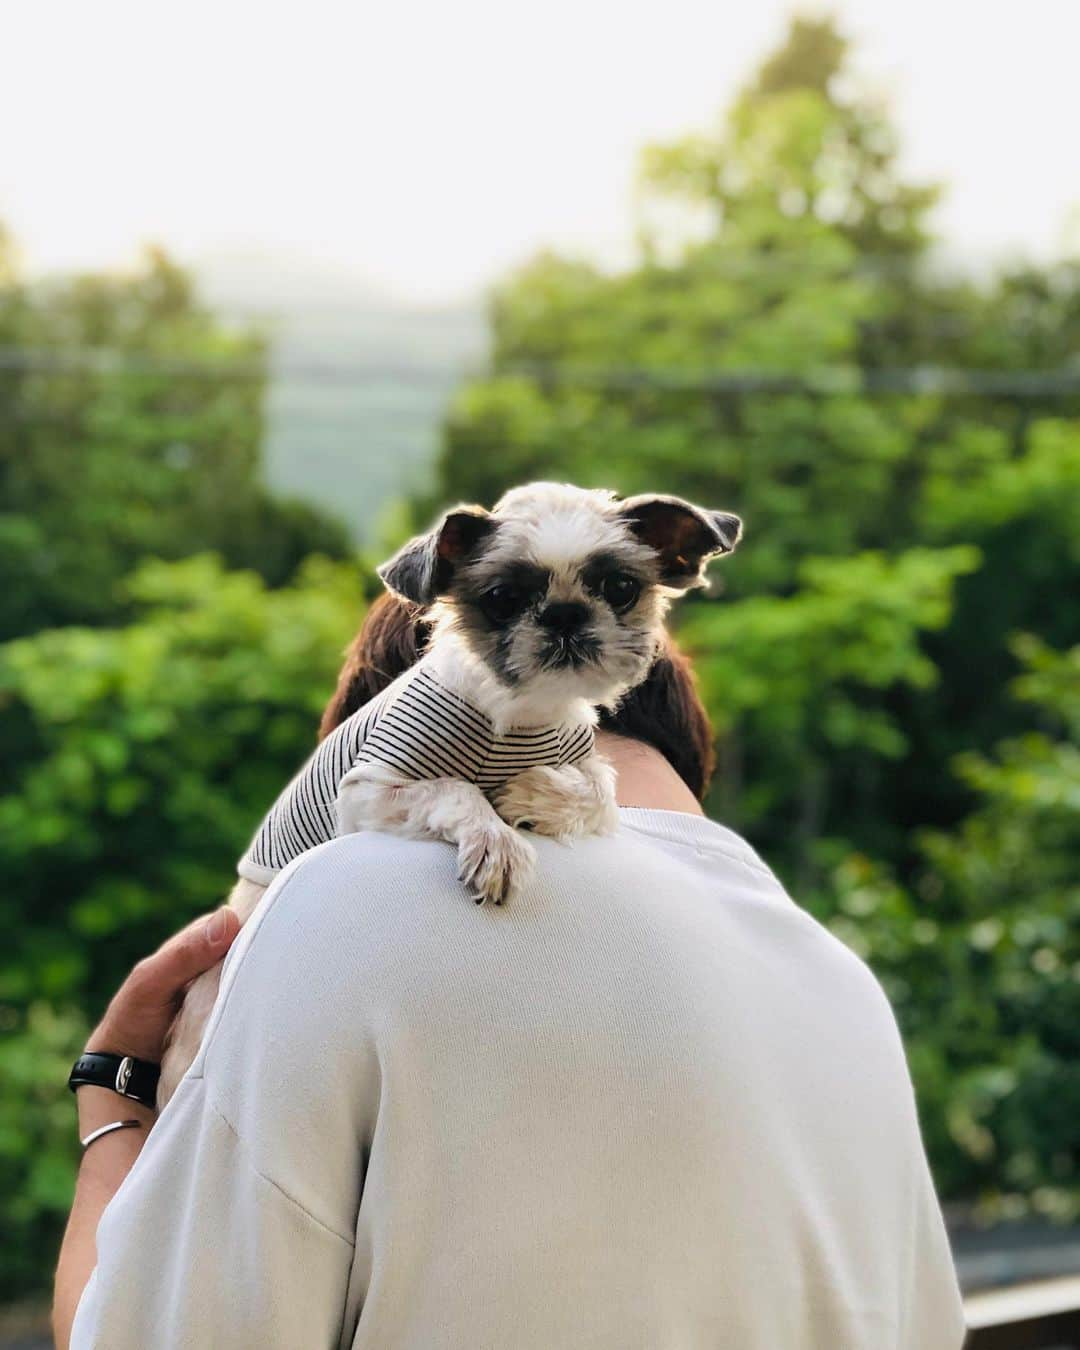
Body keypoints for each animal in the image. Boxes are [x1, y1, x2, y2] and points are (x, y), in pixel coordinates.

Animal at [153, 480, 745, 1101]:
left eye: (621, 588)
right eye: (504, 598)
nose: (564, 614)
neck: (523, 715)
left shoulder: (583, 761)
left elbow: (596, 792)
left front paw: (525, 795)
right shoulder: (366, 791)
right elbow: (458, 788)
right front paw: (497, 839)